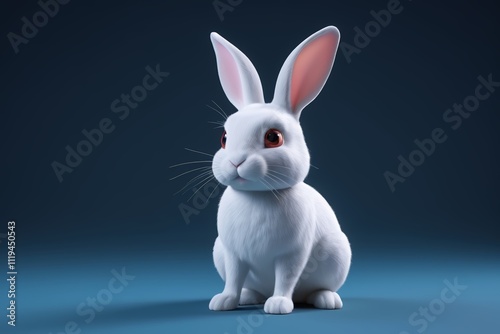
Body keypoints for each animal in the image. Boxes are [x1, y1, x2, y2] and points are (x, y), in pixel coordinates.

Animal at [209, 25, 350, 314]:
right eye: (224, 138)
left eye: (273, 137)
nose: (236, 162)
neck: (257, 196)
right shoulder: (232, 253)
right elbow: (233, 278)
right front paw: (224, 301)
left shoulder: (292, 254)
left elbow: (286, 278)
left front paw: (279, 305)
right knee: (251, 286)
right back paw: (248, 296)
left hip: (336, 253)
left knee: (313, 289)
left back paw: (325, 300)